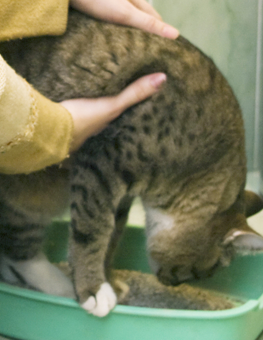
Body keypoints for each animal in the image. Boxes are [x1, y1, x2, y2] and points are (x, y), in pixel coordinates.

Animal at [0, 9, 263, 316]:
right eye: (201, 271)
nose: (173, 284)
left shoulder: (122, 192)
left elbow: (113, 235)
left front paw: (110, 280)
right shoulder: (101, 162)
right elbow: (93, 230)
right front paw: (93, 288)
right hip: (27, 193)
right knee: (18, 250)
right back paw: (60, 285)